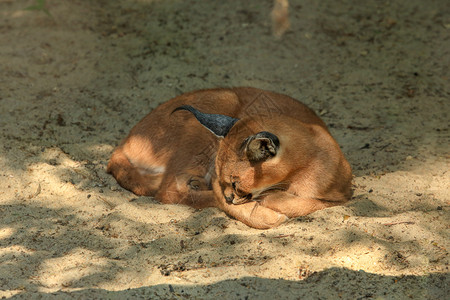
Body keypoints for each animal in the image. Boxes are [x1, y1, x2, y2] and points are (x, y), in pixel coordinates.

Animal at [106, 88, 352, 229]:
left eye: (236, 183)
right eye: (227, 181)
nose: (229, 195)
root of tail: (126, 139)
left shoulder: (343, 195)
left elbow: (309, 203)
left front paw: (272, 199)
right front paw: (266, 210)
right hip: (222, 100)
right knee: (167, 191)